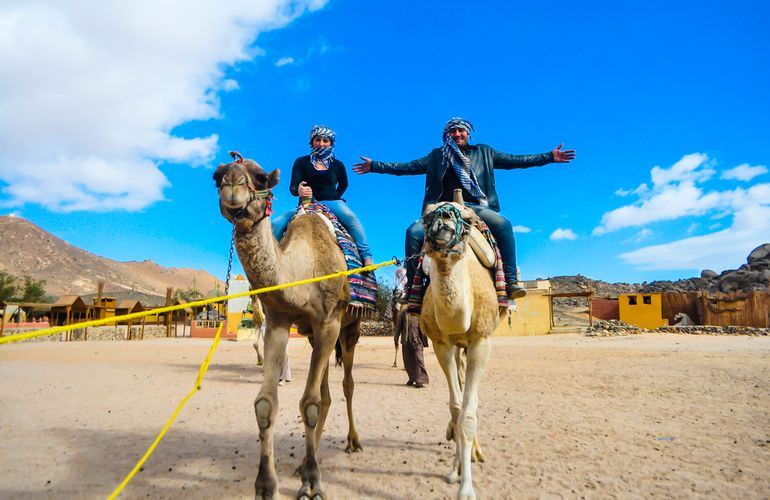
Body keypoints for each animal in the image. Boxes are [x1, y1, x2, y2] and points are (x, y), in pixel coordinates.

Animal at [213, 155, 364, 500]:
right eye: (216, 177)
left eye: (260, 177)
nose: (231, 186)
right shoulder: (280, 322)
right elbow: (266, 405)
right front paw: (266, 485)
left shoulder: (329, 322)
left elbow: (309, 404)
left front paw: (313, 483)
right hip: (314, 337)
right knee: (326, 393)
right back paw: (309, 459)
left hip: (349, 329)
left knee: (347, 385)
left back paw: (352, 441)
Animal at [416, 189, 500, 498]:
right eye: (426, 216)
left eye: (468, 219)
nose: (443, 222)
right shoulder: (442, 344)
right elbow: (455, 409)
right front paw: (455, 473)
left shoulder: (481, 342)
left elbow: (468, 415)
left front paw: (467, 488)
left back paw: (476, 453)